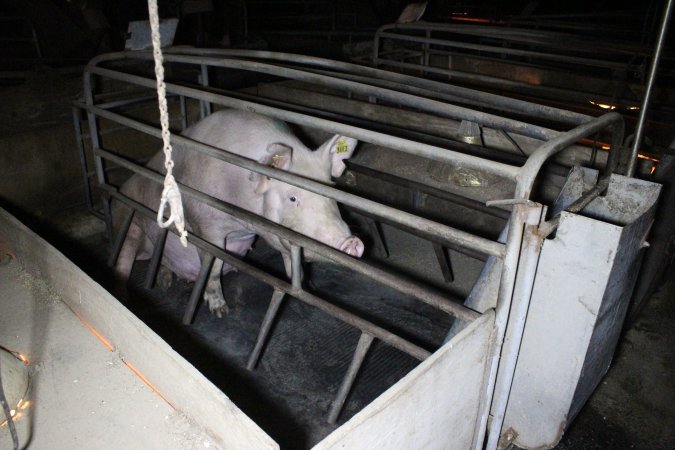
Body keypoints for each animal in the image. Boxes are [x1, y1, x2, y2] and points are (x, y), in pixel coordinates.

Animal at [113, 109, 364, 316]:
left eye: (330, 193)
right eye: (293, 198)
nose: (352, 242)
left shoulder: (283, 237)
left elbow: (292, 265)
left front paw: (306, 290)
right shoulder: (205, 225)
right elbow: (213, 268)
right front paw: (221, 311)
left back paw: (165, 281)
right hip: (128, 217)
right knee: (124, 258)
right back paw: (125, 296)